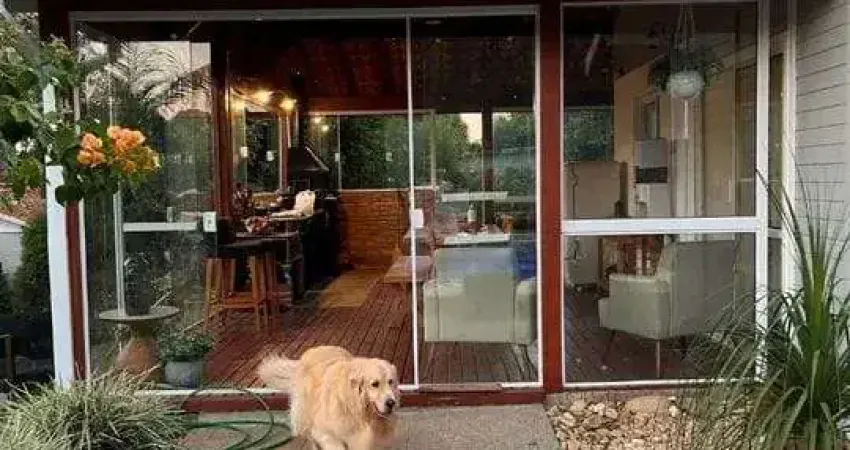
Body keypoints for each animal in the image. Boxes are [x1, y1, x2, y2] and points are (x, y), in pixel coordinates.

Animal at [257, 346, 401, 450]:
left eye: (391, 382)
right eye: (375, 384)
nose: (391, 403)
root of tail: (314, 349)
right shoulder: (324, 432)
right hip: (304, 414)